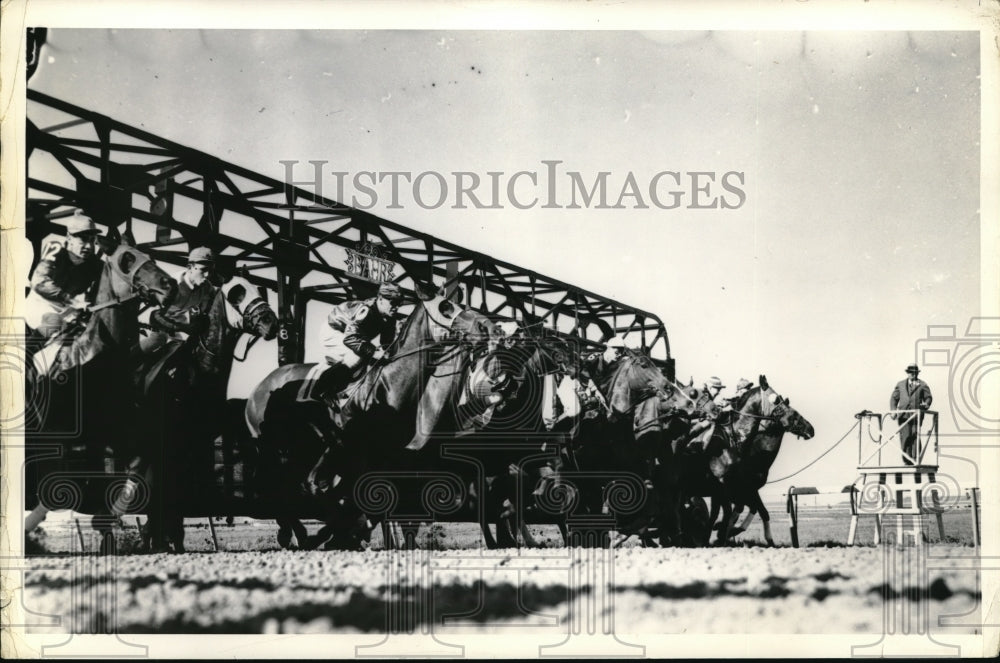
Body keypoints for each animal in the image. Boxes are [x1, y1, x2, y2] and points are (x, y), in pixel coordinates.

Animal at [23, 236, 176, 544]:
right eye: (127, 259)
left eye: (150, 257)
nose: (170, 286)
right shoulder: (62, 435)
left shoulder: (114, 434)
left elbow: (139, 465)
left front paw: (107, 522)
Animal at [129, 272, 280, 552]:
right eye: (236, 294)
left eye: (260, 290)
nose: (270, 323)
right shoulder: (165, 441)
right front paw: (157, 540)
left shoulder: (198, 441)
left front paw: (172, 540)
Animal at [684, 376, 816, 548]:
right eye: (777, 400)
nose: (810, 429)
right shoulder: (729, 487)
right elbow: (734, 511)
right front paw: (722, 533)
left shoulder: (743, 490)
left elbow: (758, 511)